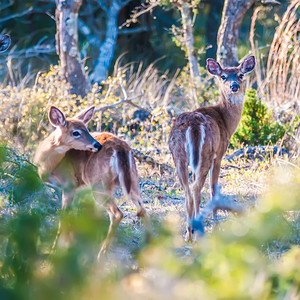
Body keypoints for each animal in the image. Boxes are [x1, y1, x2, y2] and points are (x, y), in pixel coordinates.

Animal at [34, 106, 149, 260]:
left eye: (87, 129)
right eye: (76, 132)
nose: (97, 145)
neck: (48, 164)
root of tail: (121, 149)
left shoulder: (69, 185)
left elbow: (64, 217)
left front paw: (55, 250)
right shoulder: (75, 190)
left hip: (99, 185)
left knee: (117, 214)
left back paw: (101, 255)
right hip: (133, 180)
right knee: (143, 210)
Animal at [169, 55, 255, 241]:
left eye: (241, 75)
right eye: (223, 76)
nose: (234, 86)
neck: (225, 121)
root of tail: (192, 125)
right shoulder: (220, 153)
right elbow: (214, 188)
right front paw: (216, 224)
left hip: (178, 155)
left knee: (188, 191)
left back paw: (189, 234)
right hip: (205, 154)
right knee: (196, 188)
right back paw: (197, 232)